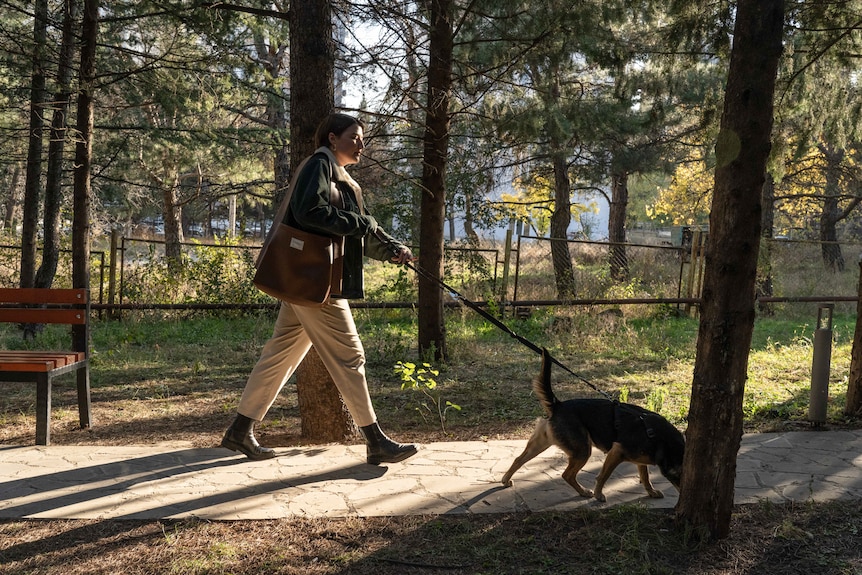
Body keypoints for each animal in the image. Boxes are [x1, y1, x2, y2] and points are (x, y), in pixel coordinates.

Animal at [502, 348, 684, 502]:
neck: (661, 440)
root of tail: (557, 405)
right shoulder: (616, 452)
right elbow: (603, 476)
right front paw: (599, 494)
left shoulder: (640, 460)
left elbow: (645, 477)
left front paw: (651, 492)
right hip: (583, 450)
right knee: (567, 475)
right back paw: (584, 492)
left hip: (541, 444)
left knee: (519, 459)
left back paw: (506, 480)